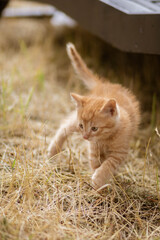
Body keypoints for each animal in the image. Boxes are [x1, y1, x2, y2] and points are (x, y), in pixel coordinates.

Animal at [47, 42, 140, 189]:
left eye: (95, 128)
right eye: (81, 126)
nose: (85, 136)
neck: (106, 138)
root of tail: (104, 84)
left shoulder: (120, 152)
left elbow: (109, 164)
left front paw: (99, 178)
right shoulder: (93, 145)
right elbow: (95, 159)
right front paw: (96, 174)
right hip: (73, 124)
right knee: (65, 126)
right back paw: (53, 150)